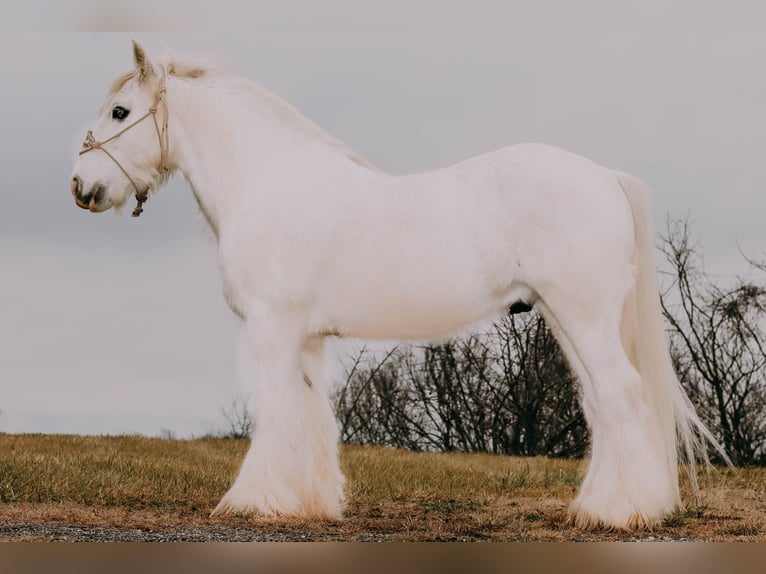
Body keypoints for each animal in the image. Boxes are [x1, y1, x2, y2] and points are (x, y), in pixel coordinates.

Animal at [70, 42, 712, 532]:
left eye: (121, 111)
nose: (80, 186)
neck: (269, 185)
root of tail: (605, 176)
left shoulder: (271, 326)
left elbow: (274, 411)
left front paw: (252, 502)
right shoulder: (304, 338)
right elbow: (311, 415)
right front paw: (310, 503)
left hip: (582, 315)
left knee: (622, 397)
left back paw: (618, 513)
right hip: (566, 318)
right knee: (602, 405)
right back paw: (600, 505)